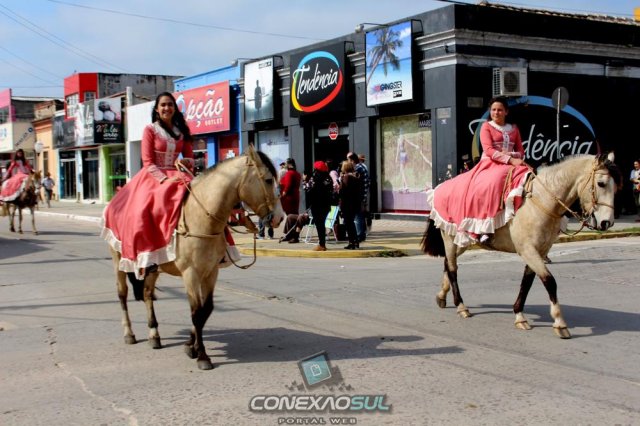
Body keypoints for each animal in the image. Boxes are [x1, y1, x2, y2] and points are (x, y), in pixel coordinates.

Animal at [108, 148, 284, 370]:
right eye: (268, 180)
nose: (279, 218)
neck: (201, 218)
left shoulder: (210, 271)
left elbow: (205, 310)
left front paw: (190, 345)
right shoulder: (190, 273)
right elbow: (196, 312)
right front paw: (202, 355)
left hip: (152, 267)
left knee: (148, 294)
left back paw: (154, 335)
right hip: (118, 261)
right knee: (122, 294)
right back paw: (129, 333)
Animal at [421, 153, 619, 339]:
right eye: (601, 183)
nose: (606, 223)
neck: (542, 201)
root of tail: (441, 187)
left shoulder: (540, 251)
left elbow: (527, 282)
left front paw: (519, 315)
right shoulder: (528, 250)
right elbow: (549, 281)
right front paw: (559, 322)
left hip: (461, 241)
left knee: (448, 264)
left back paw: (442, 296)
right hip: (450, 238)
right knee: (453, 268)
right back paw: (461, 306)